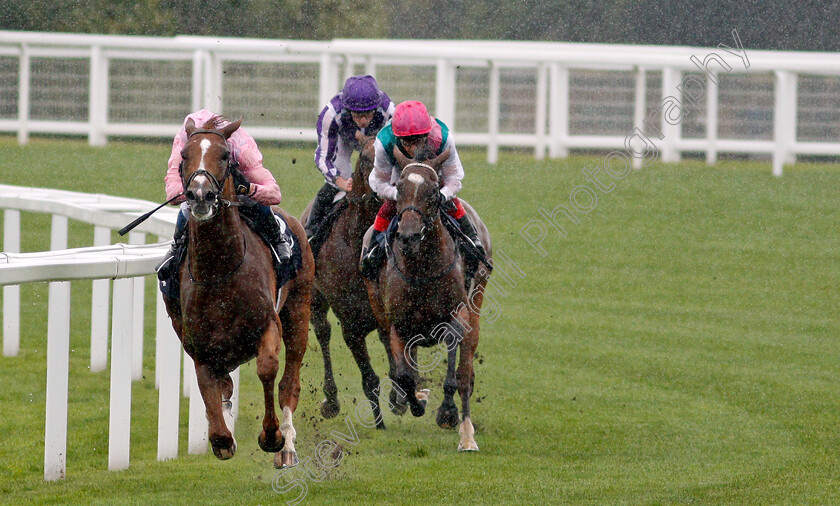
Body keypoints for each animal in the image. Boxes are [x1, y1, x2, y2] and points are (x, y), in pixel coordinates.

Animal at [162, 116, 316, 468]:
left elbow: (267, 368)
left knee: (290, 382)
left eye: (224, 155)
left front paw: (272, 436)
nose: (200, 194)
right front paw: (221, 438)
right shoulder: (199, 346)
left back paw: (288, 447)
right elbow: (210, 388)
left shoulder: (269, 324)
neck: (220, 270)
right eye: (184, 155)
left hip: (299, 312)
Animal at [302, 136, 410, 428]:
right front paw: (380, 424)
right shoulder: (350, 323)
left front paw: (398, 399)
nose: (384, 188)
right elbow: (370, 379)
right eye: (365, 157)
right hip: (315, 300)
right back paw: (330, 400)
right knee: (323, 331)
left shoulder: (385, 314)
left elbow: (394, 360)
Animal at [360, 147, 492, 450]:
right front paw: (415, 402)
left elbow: (455, 368)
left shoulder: (458, 313)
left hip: (477, 299)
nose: (408, 236)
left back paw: (467, 433)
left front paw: (448, 412)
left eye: (433, 192)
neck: (422, 268)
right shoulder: (398, 325)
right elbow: (404, 375)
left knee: (466, 368)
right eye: (399, 188)